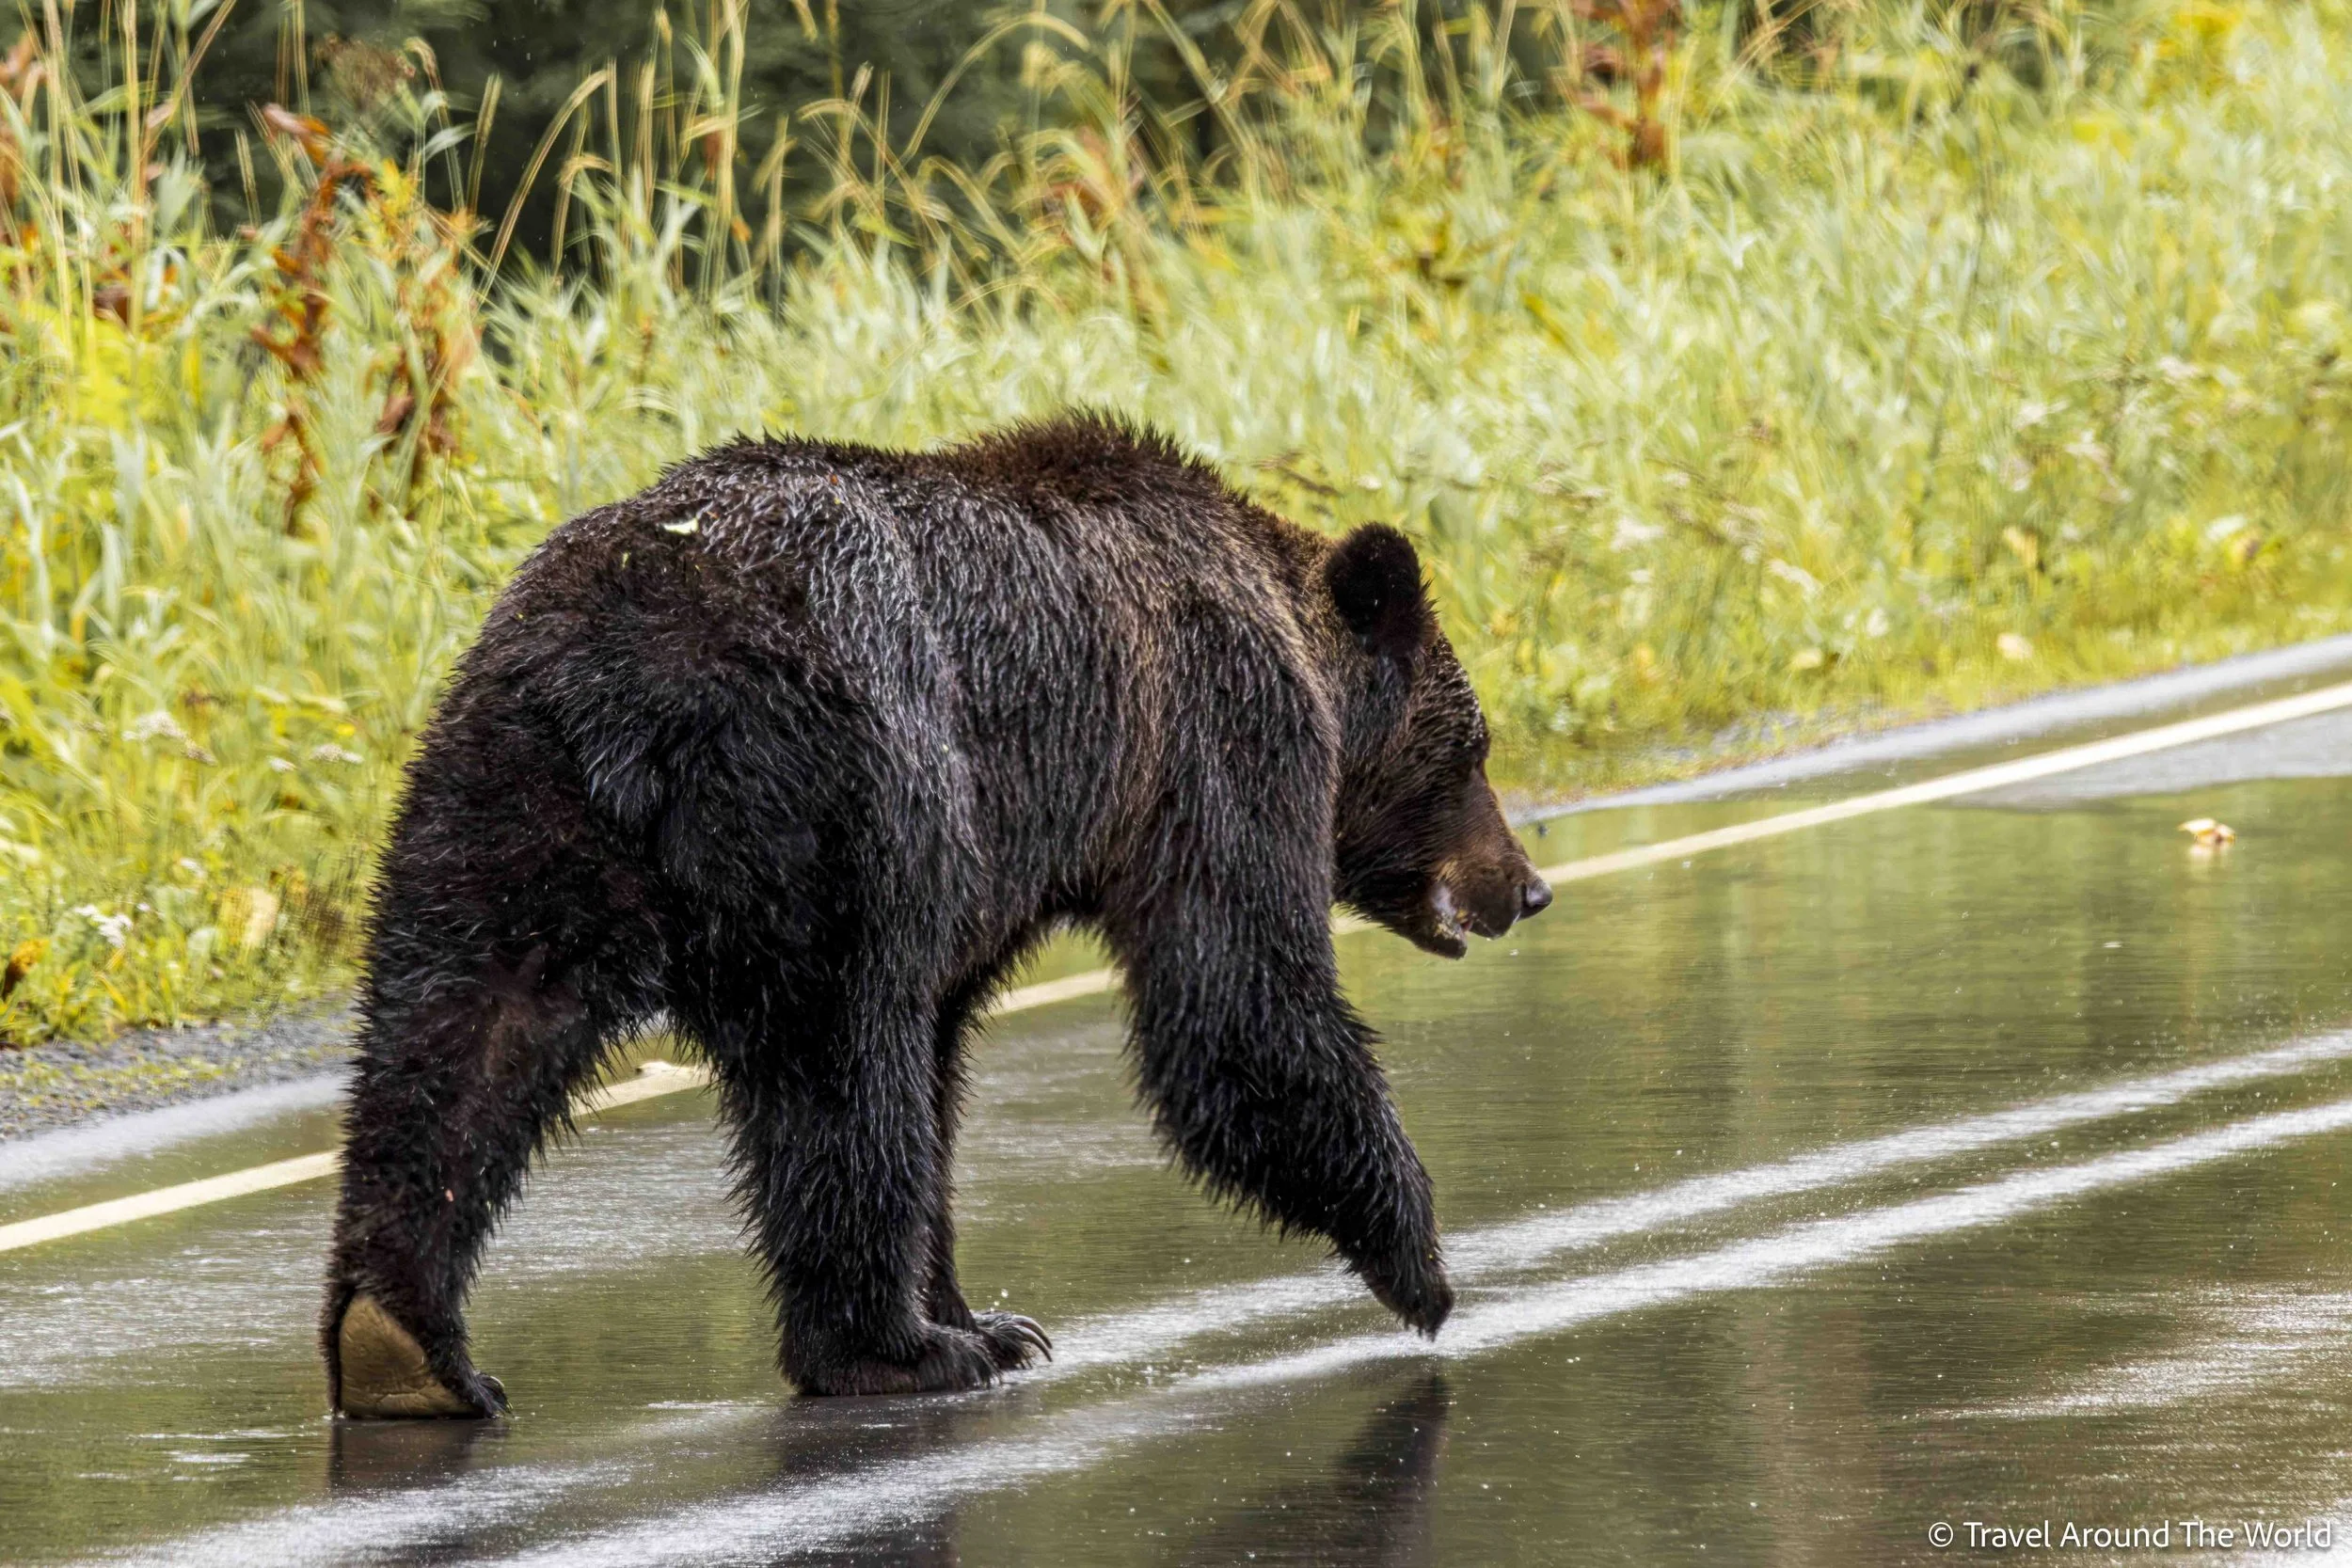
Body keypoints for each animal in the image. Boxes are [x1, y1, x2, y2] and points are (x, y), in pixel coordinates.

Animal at [321, 412, 1552, 1417]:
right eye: (1474, 748)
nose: (1525, 884)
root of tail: (633, 664)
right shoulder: (1210, 728)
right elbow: (1237, 1003)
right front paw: (1420, 1258)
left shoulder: (1006, 859)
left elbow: (956, 1050)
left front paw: (986, 1310)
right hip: (840, 790)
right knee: (842, 1065)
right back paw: (889, 1349)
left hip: (498, 795)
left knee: (458, 1036)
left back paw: (403, 1344)